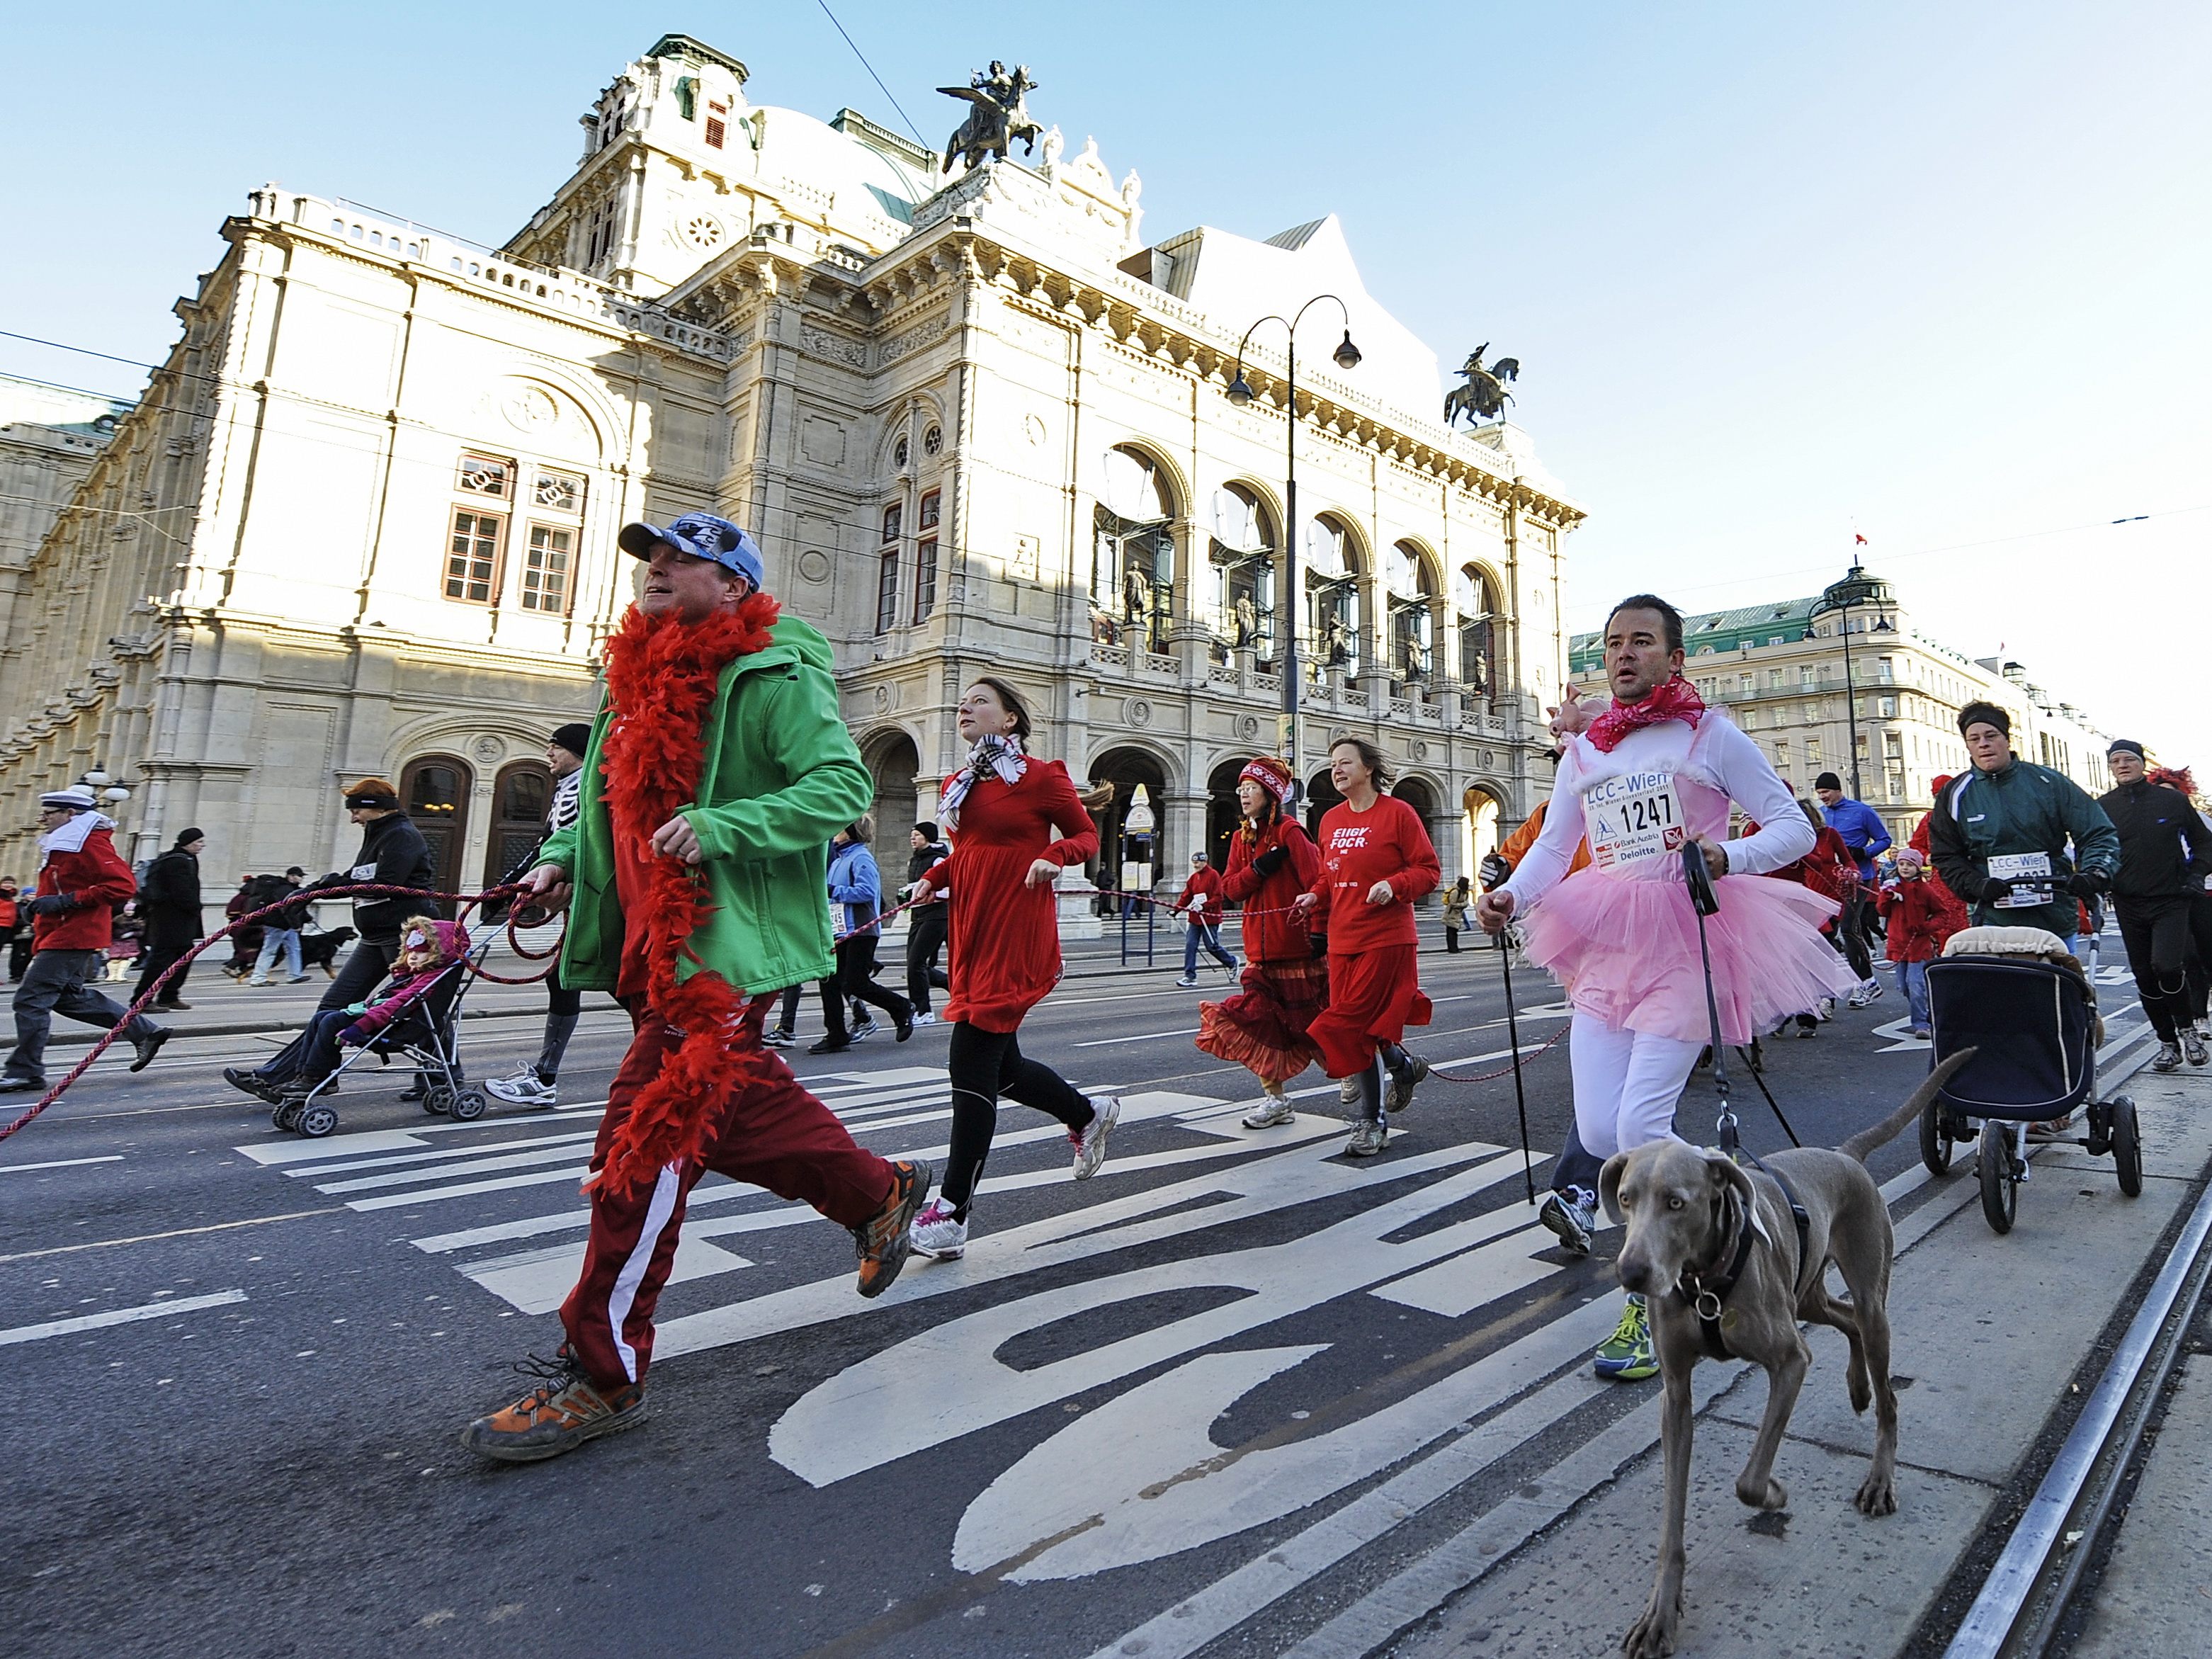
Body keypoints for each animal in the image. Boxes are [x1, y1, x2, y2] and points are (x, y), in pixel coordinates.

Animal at [1601, 1057, 1982, 1654]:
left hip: (1868, 1293)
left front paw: (1775, 1493)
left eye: (1676, 1202)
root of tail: (1844, 1155)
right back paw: (1856, 1386)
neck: (1703, 1278)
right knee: (1845, 1320)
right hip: (1805, 1292)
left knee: (1885, 1387)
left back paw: (1879, 1477)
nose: (1631, 1273)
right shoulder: (1676, 1396)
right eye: (1624, 1197)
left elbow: (1750, 1480)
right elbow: (1671, 1522)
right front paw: (1660, 1614)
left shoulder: (1788, 1361)